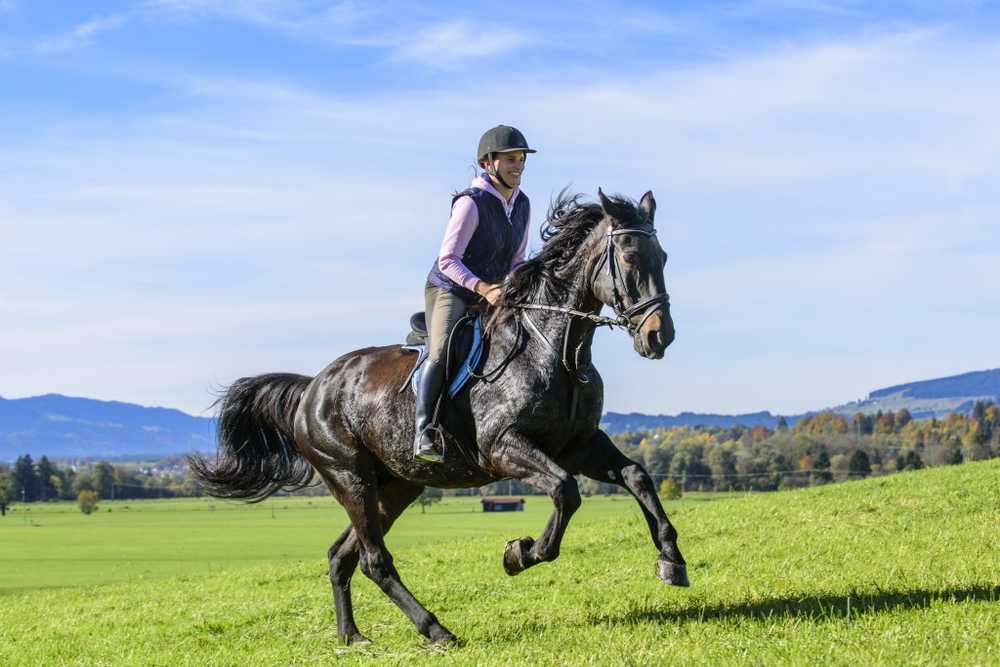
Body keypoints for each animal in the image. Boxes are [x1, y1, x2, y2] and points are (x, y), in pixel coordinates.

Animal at [188, 189, 688, 648]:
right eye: (629, 257)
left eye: (663, 256)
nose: (658, 336)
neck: (554, 348)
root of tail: (313, 387)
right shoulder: (505, 448)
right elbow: (566, 492)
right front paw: (519, 553)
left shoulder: (579, 444)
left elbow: (637, 476)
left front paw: (671, 561)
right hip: (349, 477)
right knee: (374, 560)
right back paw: (436, 630)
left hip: (395, 486)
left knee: (342, 555)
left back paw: (352, 637)